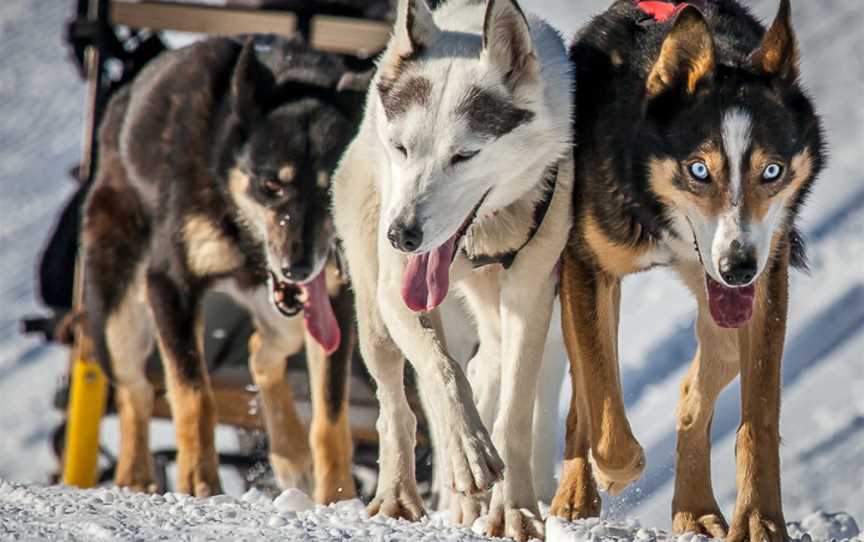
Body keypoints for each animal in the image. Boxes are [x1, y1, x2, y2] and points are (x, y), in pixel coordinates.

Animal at [552, 2, 824, 540]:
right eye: (699, 170)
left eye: (773, 171)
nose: (738, 267)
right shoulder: (586, 266)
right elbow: (602, 402)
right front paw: (617, 472)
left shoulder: (767, 282)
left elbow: (758, 420)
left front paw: (760, 520)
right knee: (585, 395)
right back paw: (576, 494)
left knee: (695, 387)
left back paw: (694, 509)